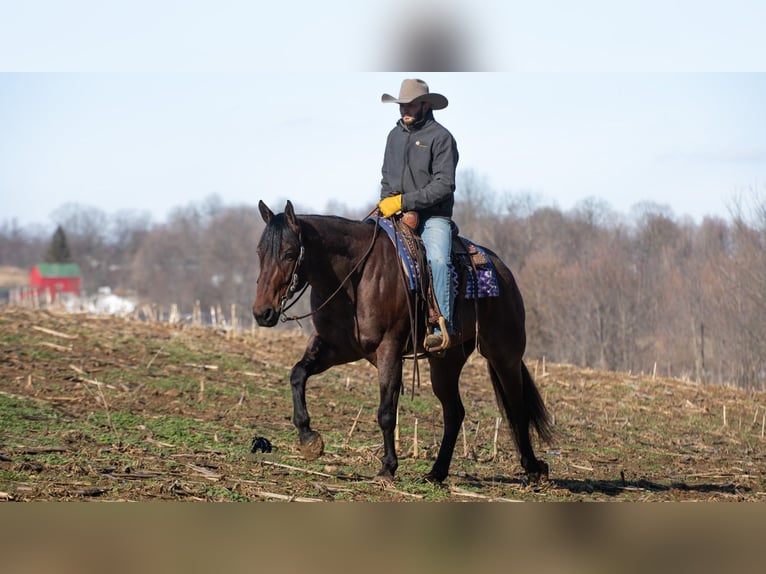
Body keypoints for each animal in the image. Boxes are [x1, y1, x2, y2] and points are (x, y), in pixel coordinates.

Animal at [252, 200, 551, 483]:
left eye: (289, 253)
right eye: (259, 252)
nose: (262, 312)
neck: (356, 276)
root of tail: (502, 271)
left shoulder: (389, 349)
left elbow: (386, 412)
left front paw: (387, 468)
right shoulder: (336, 347)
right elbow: (297, 374)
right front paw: (308, 439)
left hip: (504, 354)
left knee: (516, 406)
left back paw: (534, 468)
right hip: (446, 362)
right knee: (454, 412)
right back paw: (436, 473)